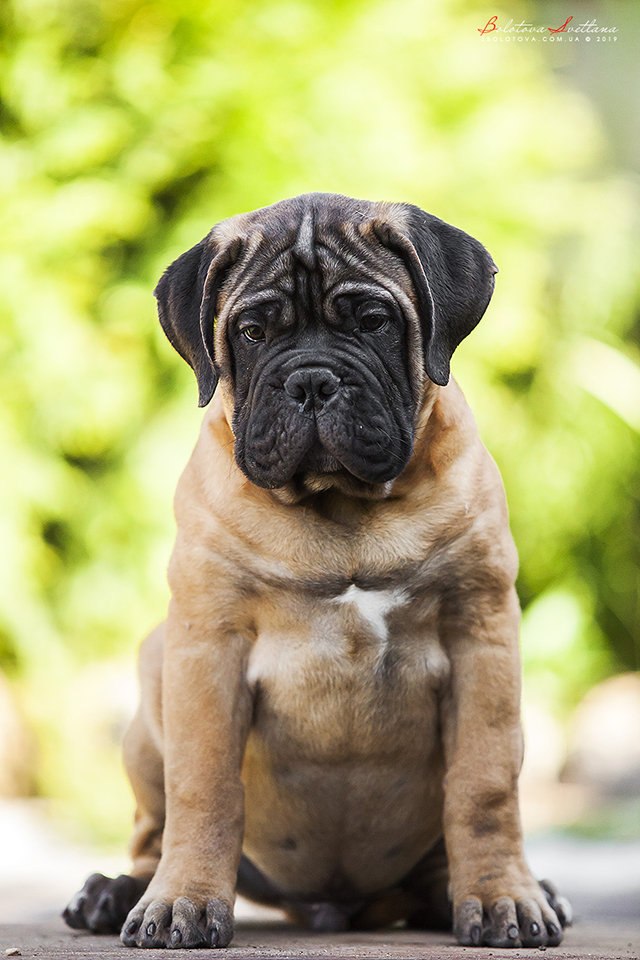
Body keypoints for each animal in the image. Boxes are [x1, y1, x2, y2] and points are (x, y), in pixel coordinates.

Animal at [63, 191, 568, 948]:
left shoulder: (483, 636)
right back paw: (118, 892)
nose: (311, 379)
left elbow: (484, 786)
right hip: (154, 675)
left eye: (374, 322)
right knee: (154, 831)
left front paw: (503, 894)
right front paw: (183, 901)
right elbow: (203, 787)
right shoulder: (206, 647)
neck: (344, 508)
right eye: (250, 332)